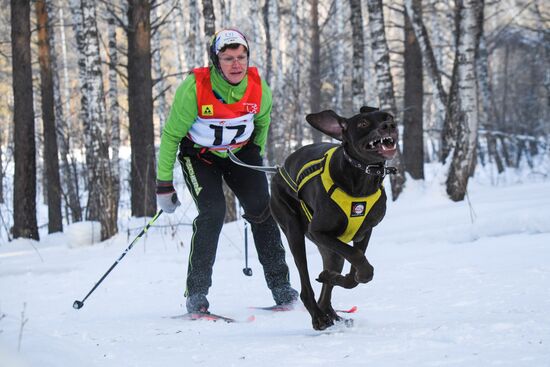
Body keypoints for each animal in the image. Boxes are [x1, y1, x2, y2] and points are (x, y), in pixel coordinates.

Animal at [270, 105, 398, 330]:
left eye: (388, 116)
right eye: (363, 123)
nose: (389, 125)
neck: (361, 178)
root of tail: (279, 170)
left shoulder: (364, 231)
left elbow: (355, 274)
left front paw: (337, 277)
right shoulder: (319, 231)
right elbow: (357, 257)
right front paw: (359, 273)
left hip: (331, 251)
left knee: (326, 289)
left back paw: (331, 310)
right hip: (294, 230)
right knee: (305, 285)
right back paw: (319, 317)